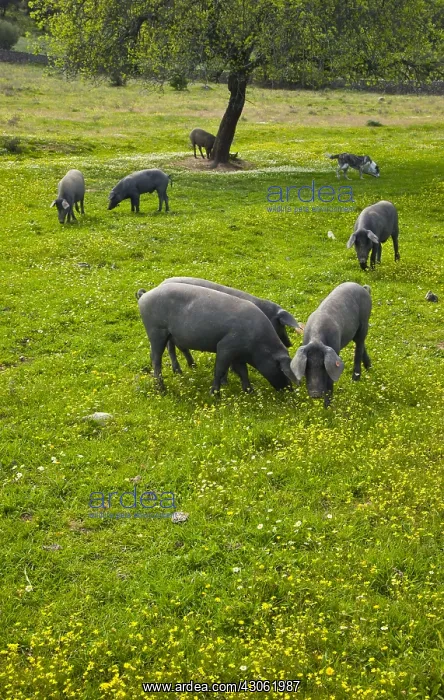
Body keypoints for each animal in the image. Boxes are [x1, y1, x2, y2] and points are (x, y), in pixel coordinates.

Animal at [137, 283, 297, 393]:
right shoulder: (225, 346)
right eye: (282, 370)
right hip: (156, 331)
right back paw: (162, 389)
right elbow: (219, 369)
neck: (258, 345)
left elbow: (243, 371)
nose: (290, 389)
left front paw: (249, 391)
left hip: (167, 334)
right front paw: (215, 393)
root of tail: (145, 295)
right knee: (155, 359)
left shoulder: (238, 354)